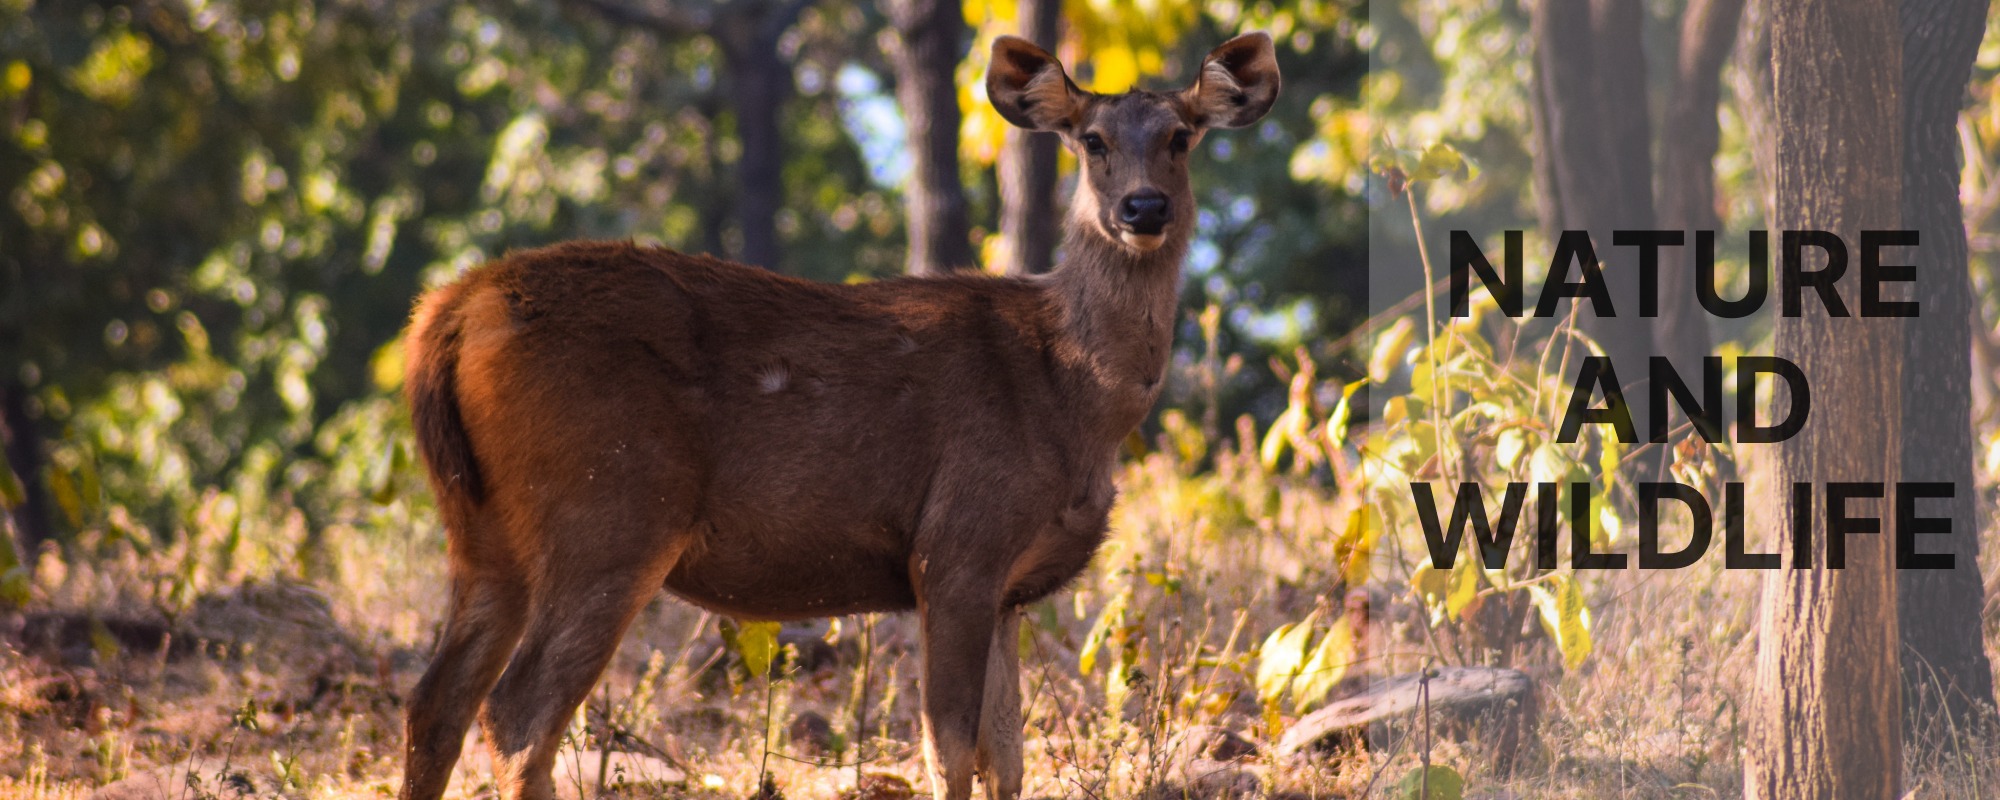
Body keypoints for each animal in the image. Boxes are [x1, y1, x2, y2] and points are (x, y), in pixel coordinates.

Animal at [398, 31, 1280, 800]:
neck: (1075, 399)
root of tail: (451, 312)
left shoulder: (1007, 589)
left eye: (1181, 136)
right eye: (1092, 140)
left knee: (435, 701)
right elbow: (949, 749)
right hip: (610, 507)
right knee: (518, 714)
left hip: (483, 531)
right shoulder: (957, 544)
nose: (1143, 207)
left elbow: (1008, 756)